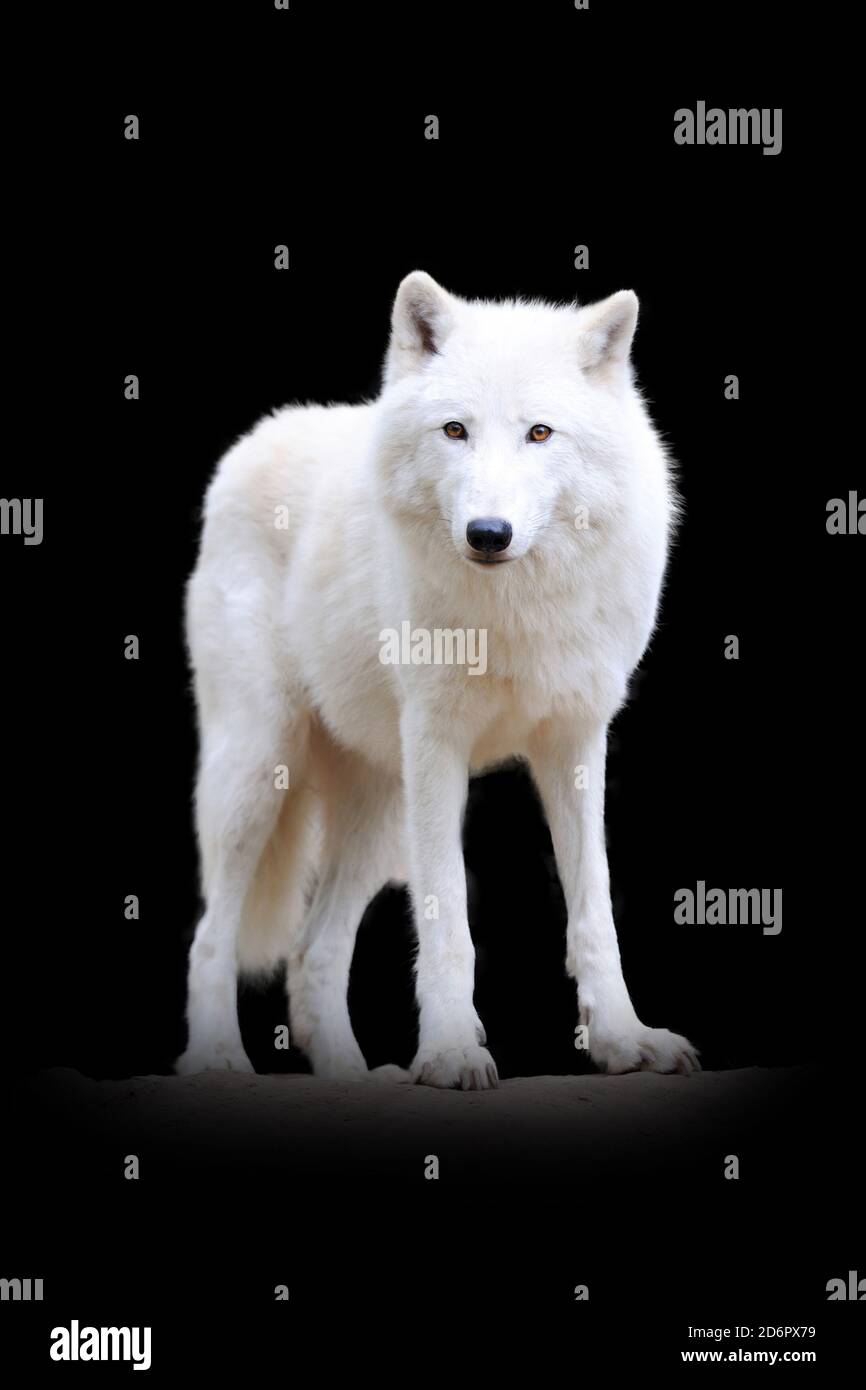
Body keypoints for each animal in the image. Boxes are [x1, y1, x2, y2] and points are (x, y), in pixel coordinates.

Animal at [176, 272, 699, 1088]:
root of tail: (257, 437)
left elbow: (594, 910)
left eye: (540, 434)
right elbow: (448, 917)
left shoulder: (576, 742)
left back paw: (354, 1077)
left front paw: (623, 1040)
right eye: (455, 431)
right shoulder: (436, 747)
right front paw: (453, 1051)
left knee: (313, 950)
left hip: (378, 810)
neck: (512, 614)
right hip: (261, 772)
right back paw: (219, 1060)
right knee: (212, 935)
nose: (488, 534)